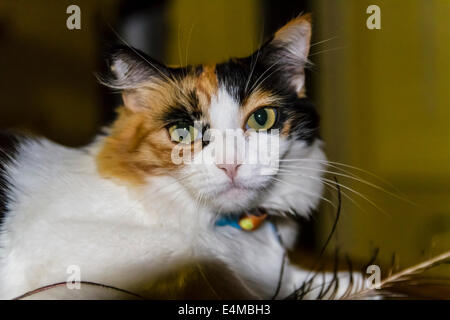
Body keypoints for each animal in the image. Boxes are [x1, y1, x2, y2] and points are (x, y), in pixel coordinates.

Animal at [0, 14, 360, 300]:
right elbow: (203, 264)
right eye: (182, 132)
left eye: (262, 119)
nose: (230, 164)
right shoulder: (62, 242)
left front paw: (350, 283)